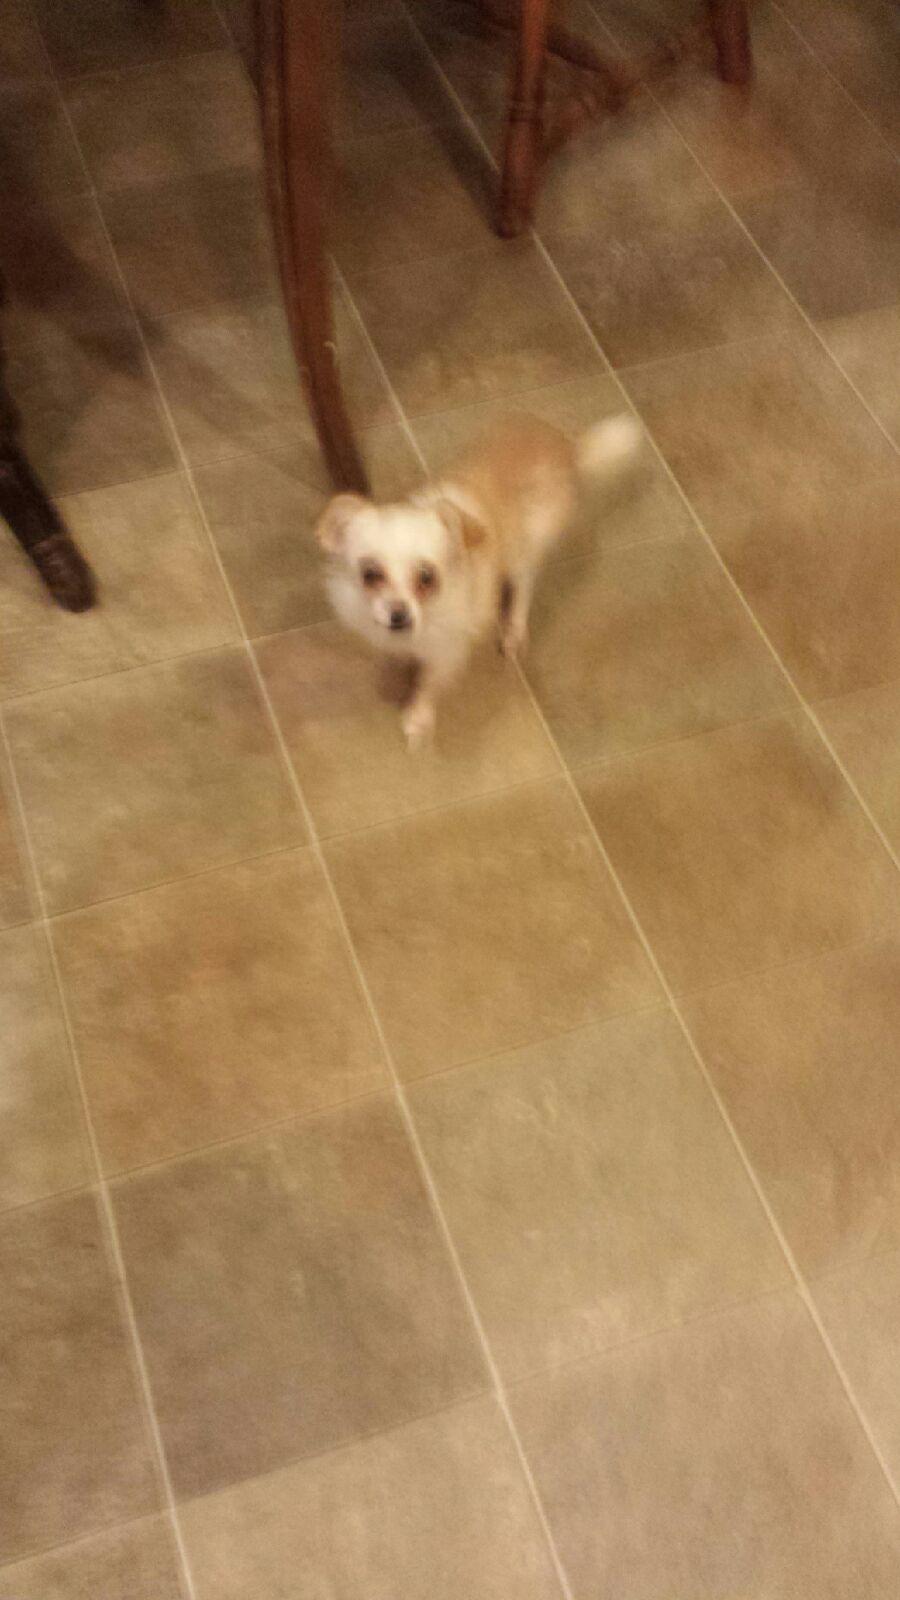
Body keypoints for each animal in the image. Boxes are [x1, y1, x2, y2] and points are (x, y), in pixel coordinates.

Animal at [314, 410, 642, 748]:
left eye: (427, 578)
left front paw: (418, 719)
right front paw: (394, 667)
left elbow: (429, 686)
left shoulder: (447, 653)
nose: (399, 616)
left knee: (524, 585)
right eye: (371, 575)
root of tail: (567, 447)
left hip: (526, 545)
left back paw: (513, 631)